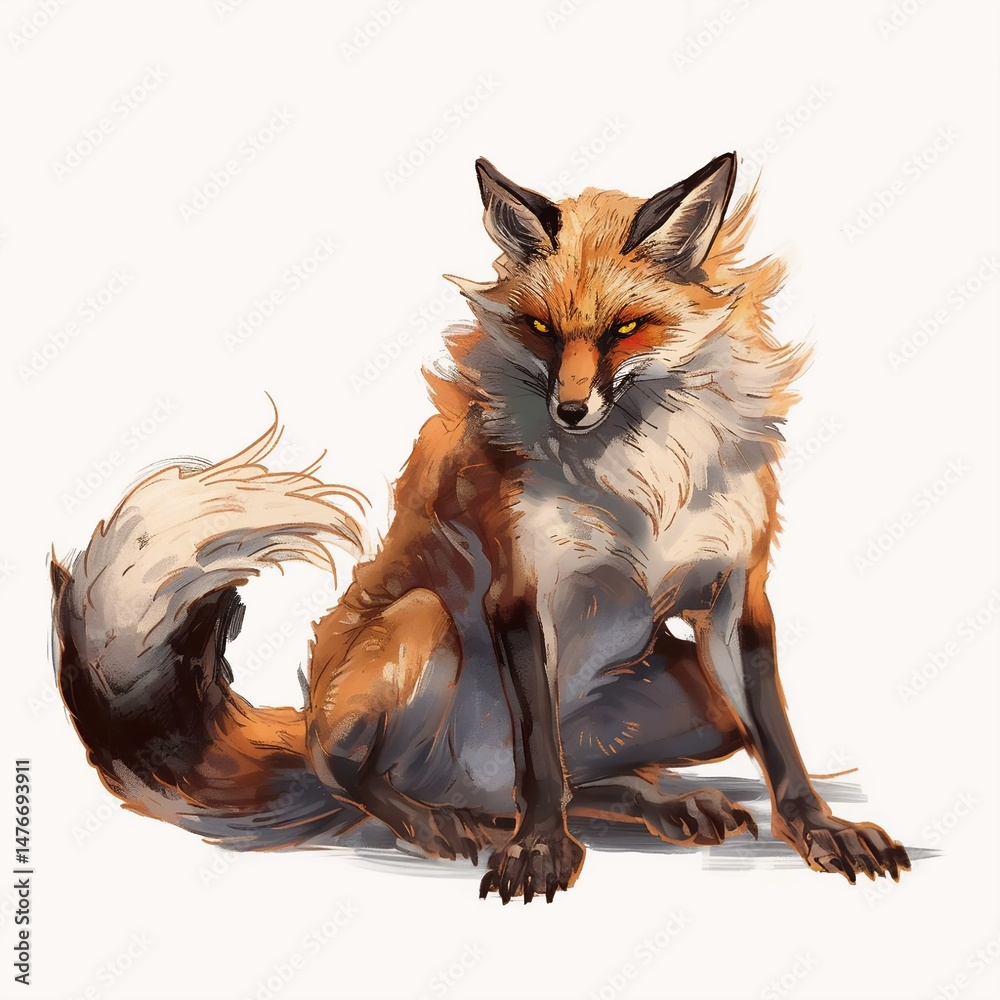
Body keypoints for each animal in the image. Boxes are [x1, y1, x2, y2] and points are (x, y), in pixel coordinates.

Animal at [51, 152, 911, 903]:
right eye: (539, 328)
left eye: (625, 328)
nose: (571, 410)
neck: (641, 478)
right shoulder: (521, 594)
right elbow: (542, 761)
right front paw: (541, 852)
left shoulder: (737, 594)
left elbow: (781, 744)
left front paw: (820, 832)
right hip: (420, 622)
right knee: (355, 773)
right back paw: (438, 824)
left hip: (701, 703)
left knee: (569, 782)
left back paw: (655, 801)